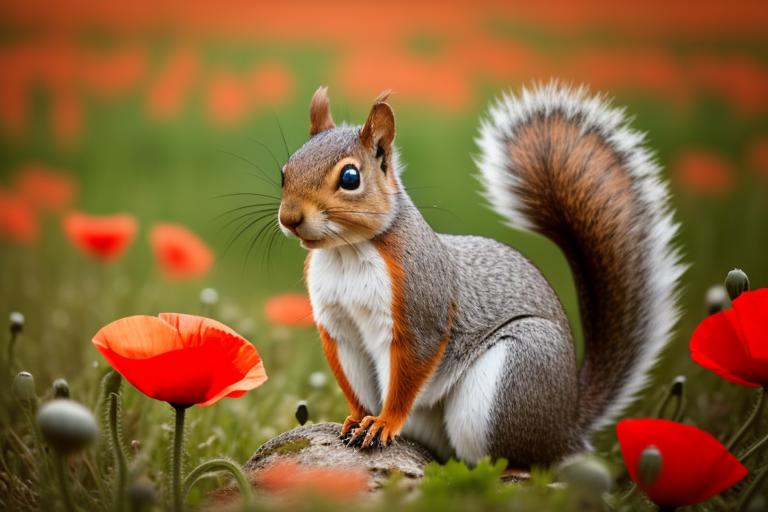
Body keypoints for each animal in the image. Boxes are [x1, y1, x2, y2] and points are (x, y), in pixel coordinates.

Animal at [278, 82, 684, 466]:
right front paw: (357, 418)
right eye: (285, 171)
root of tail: (566, 427)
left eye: (350, 178)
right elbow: (353, 381)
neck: (346, 252)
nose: (290, 218)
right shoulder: (338, 327)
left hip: (509, 379)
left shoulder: (421, 308)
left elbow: (409, 373)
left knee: (513, 461)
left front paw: (383, 422)